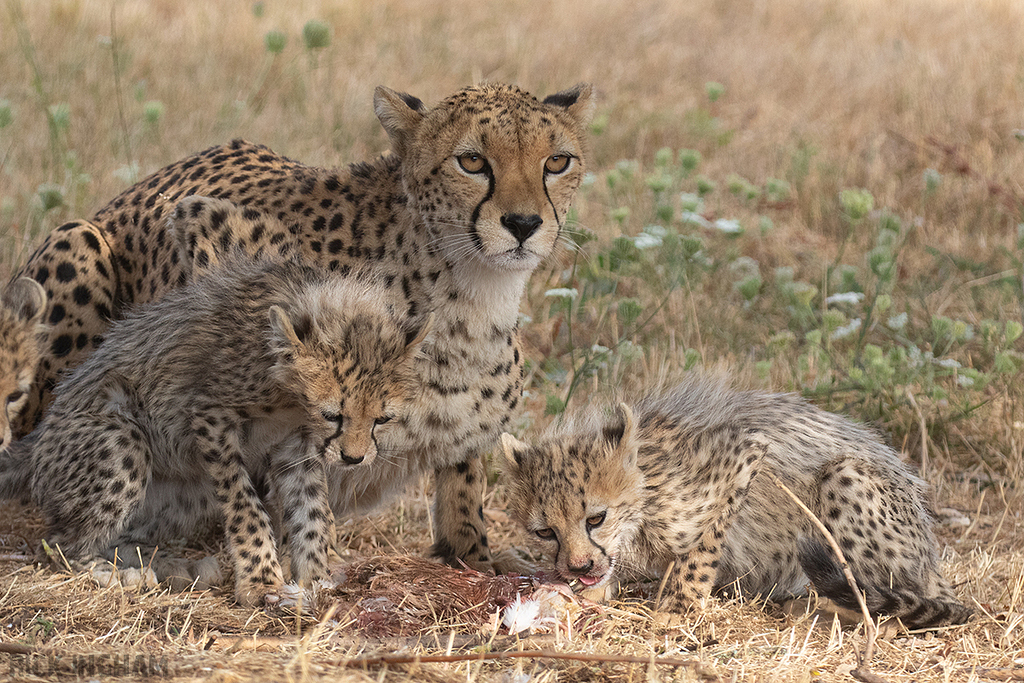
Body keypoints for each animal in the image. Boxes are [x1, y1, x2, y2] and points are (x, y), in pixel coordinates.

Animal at [14, 82, 595, 572]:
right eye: (472, 161)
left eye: (557, 161)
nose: (524, 224)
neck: (470, 295)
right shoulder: (209, 235)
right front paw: (315, 560)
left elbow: (463, 480)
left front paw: (475, 554)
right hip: (79, 244)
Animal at [499, 374, 972, 630]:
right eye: (545, 532)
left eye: (596, 518)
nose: (579, 567)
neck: (646, 485)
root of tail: (933, 559)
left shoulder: (744, 456)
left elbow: (699, 550)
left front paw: (676, 609)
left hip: (845, 477)